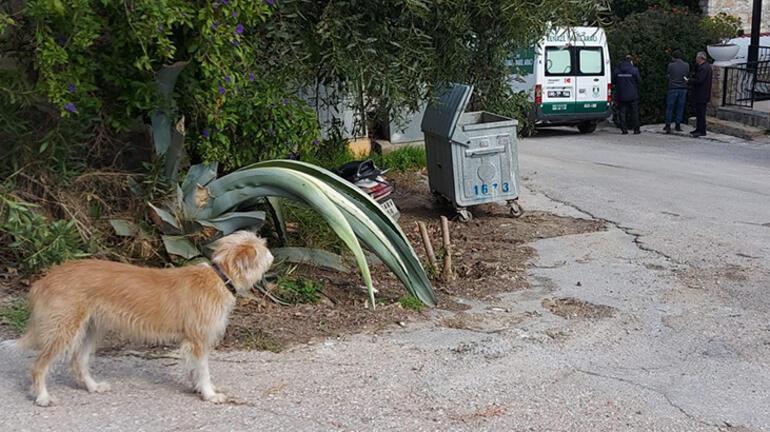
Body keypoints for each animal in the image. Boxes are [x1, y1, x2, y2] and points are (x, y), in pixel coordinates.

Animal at [3, 231, 272, 406]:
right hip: (64, 330)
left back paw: (93, 386)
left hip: (91, 329)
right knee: (39, 366)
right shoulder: (198, 340)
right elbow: (204, 371)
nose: (272, 255)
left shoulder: (192, 343)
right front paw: (209, 394)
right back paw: (42, 397)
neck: (220, 276)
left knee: (78, 362)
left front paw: (199, 389)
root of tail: (45, 279)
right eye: (262, 248)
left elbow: (195, 370)